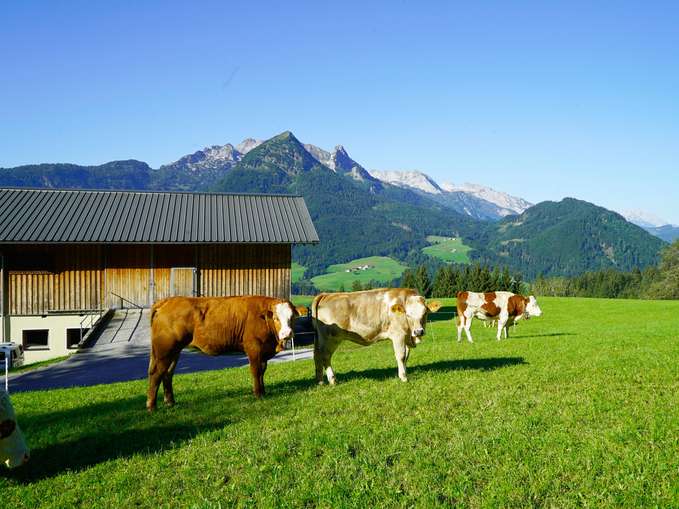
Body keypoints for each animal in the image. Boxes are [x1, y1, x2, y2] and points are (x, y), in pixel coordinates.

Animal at [147, 296, 304, 410]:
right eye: (276, 318)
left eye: (292, 318)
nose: (287, 334)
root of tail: (168, 300)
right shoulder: (254, 348)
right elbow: (256, 371)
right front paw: (258, 394)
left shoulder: (263, 352)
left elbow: (262, 371)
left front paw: (263, 391)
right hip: (164, 350)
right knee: (156, 373)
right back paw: (152, 406)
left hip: (174, 351)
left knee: (167, 374)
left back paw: (170, 402)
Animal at [312, 288, 440, 382]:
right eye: (408, 314)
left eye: (425, 313)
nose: (419, 331)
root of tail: (325, 295)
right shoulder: (398, 335)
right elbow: (401, 356)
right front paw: (403, 377)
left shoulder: (407, 336)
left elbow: (406, 357)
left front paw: (404, 372)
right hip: (330, 338)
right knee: (325, 356)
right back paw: (332, 380)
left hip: (320, 339)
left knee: (317, 355)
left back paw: (320, 381)